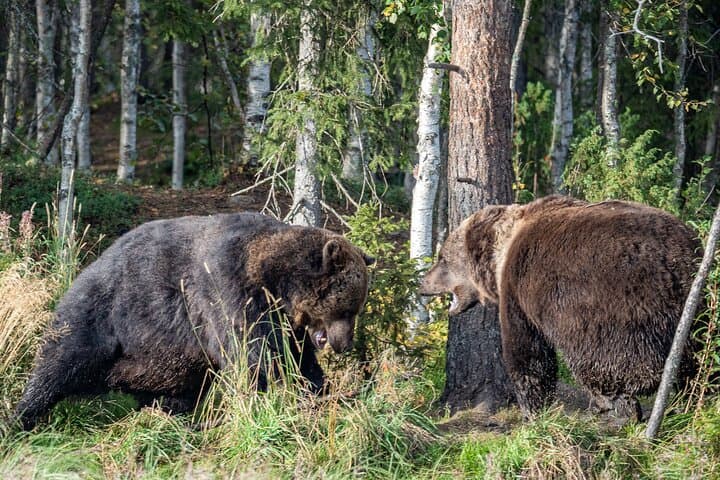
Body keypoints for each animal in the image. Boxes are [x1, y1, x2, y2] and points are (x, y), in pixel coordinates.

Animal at [15, 213, 373, 430]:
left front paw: (321, 389)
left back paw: (168, 412)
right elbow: (253, 353)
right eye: (347, 309)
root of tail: (88, 266)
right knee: (60, 363)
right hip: (103, 314)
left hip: (161, 359)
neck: (275, 282)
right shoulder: (228, 289)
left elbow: (297, 358)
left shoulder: (286, 324)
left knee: (176, 388)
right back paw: (22, 416)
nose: (344, 344)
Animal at [420, 195, 700, 420]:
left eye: (442, 258)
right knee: (693, 361)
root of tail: (673, 259)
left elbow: (526, 352)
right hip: (693, 306)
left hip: (613, 301)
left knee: (610, 357)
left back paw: (614, 404)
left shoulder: (517, 289)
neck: (500, 256)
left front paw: (533, 409)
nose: (422, 282)